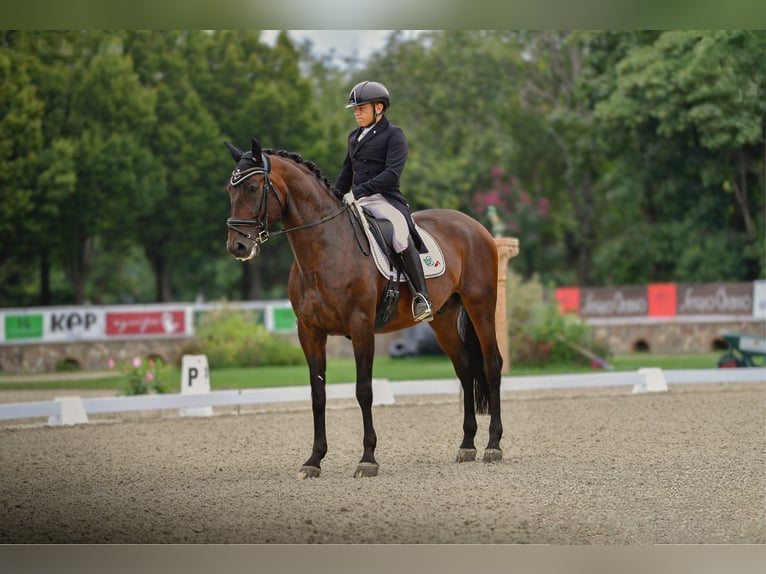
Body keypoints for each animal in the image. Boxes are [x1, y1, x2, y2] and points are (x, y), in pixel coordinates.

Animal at [224, 137, 504, 479]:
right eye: (229, 190)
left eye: (252, 188)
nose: (238, 247)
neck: (324, 249)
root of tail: (473, 224)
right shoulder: (310, 333)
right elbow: (318, 395)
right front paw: (313, 460)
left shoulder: (361, 328)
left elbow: (364, 390)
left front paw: (368, 458)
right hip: (443, 319)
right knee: (464, 369)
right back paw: (467, 445)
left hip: (481, 306)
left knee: (491, 364)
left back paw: (493, 445)